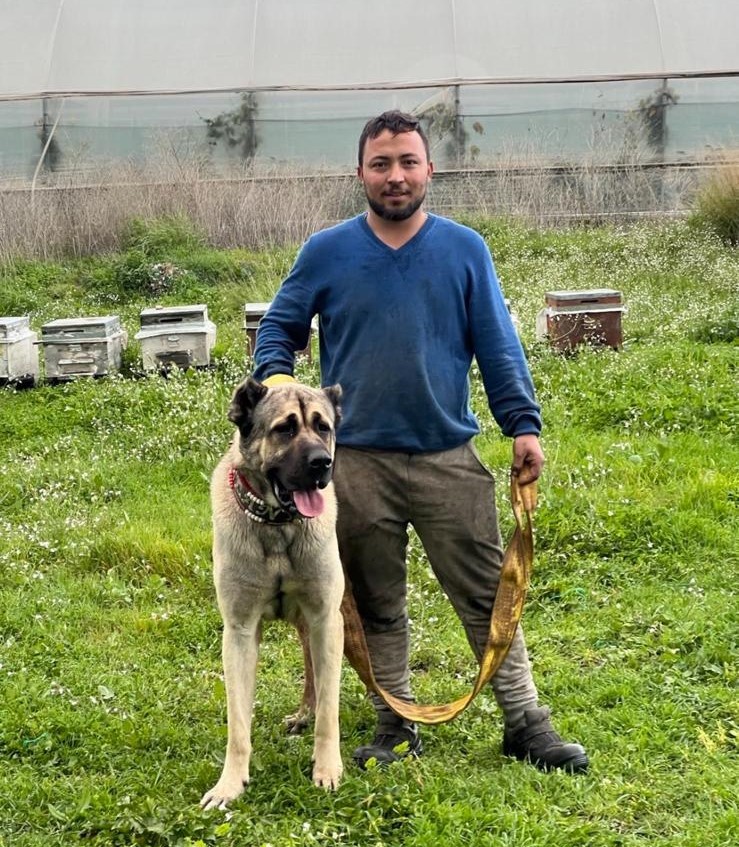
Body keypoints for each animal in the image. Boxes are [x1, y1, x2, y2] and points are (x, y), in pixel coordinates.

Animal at [199, 376, 344, 808]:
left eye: (323, 428)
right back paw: (302, 714)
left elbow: (330, 709)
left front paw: (327, 769)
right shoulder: (239, 632)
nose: (321, 464)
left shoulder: (327, 618)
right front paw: (230, 784)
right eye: (285, 429)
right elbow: (238, 723)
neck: (278, 526)